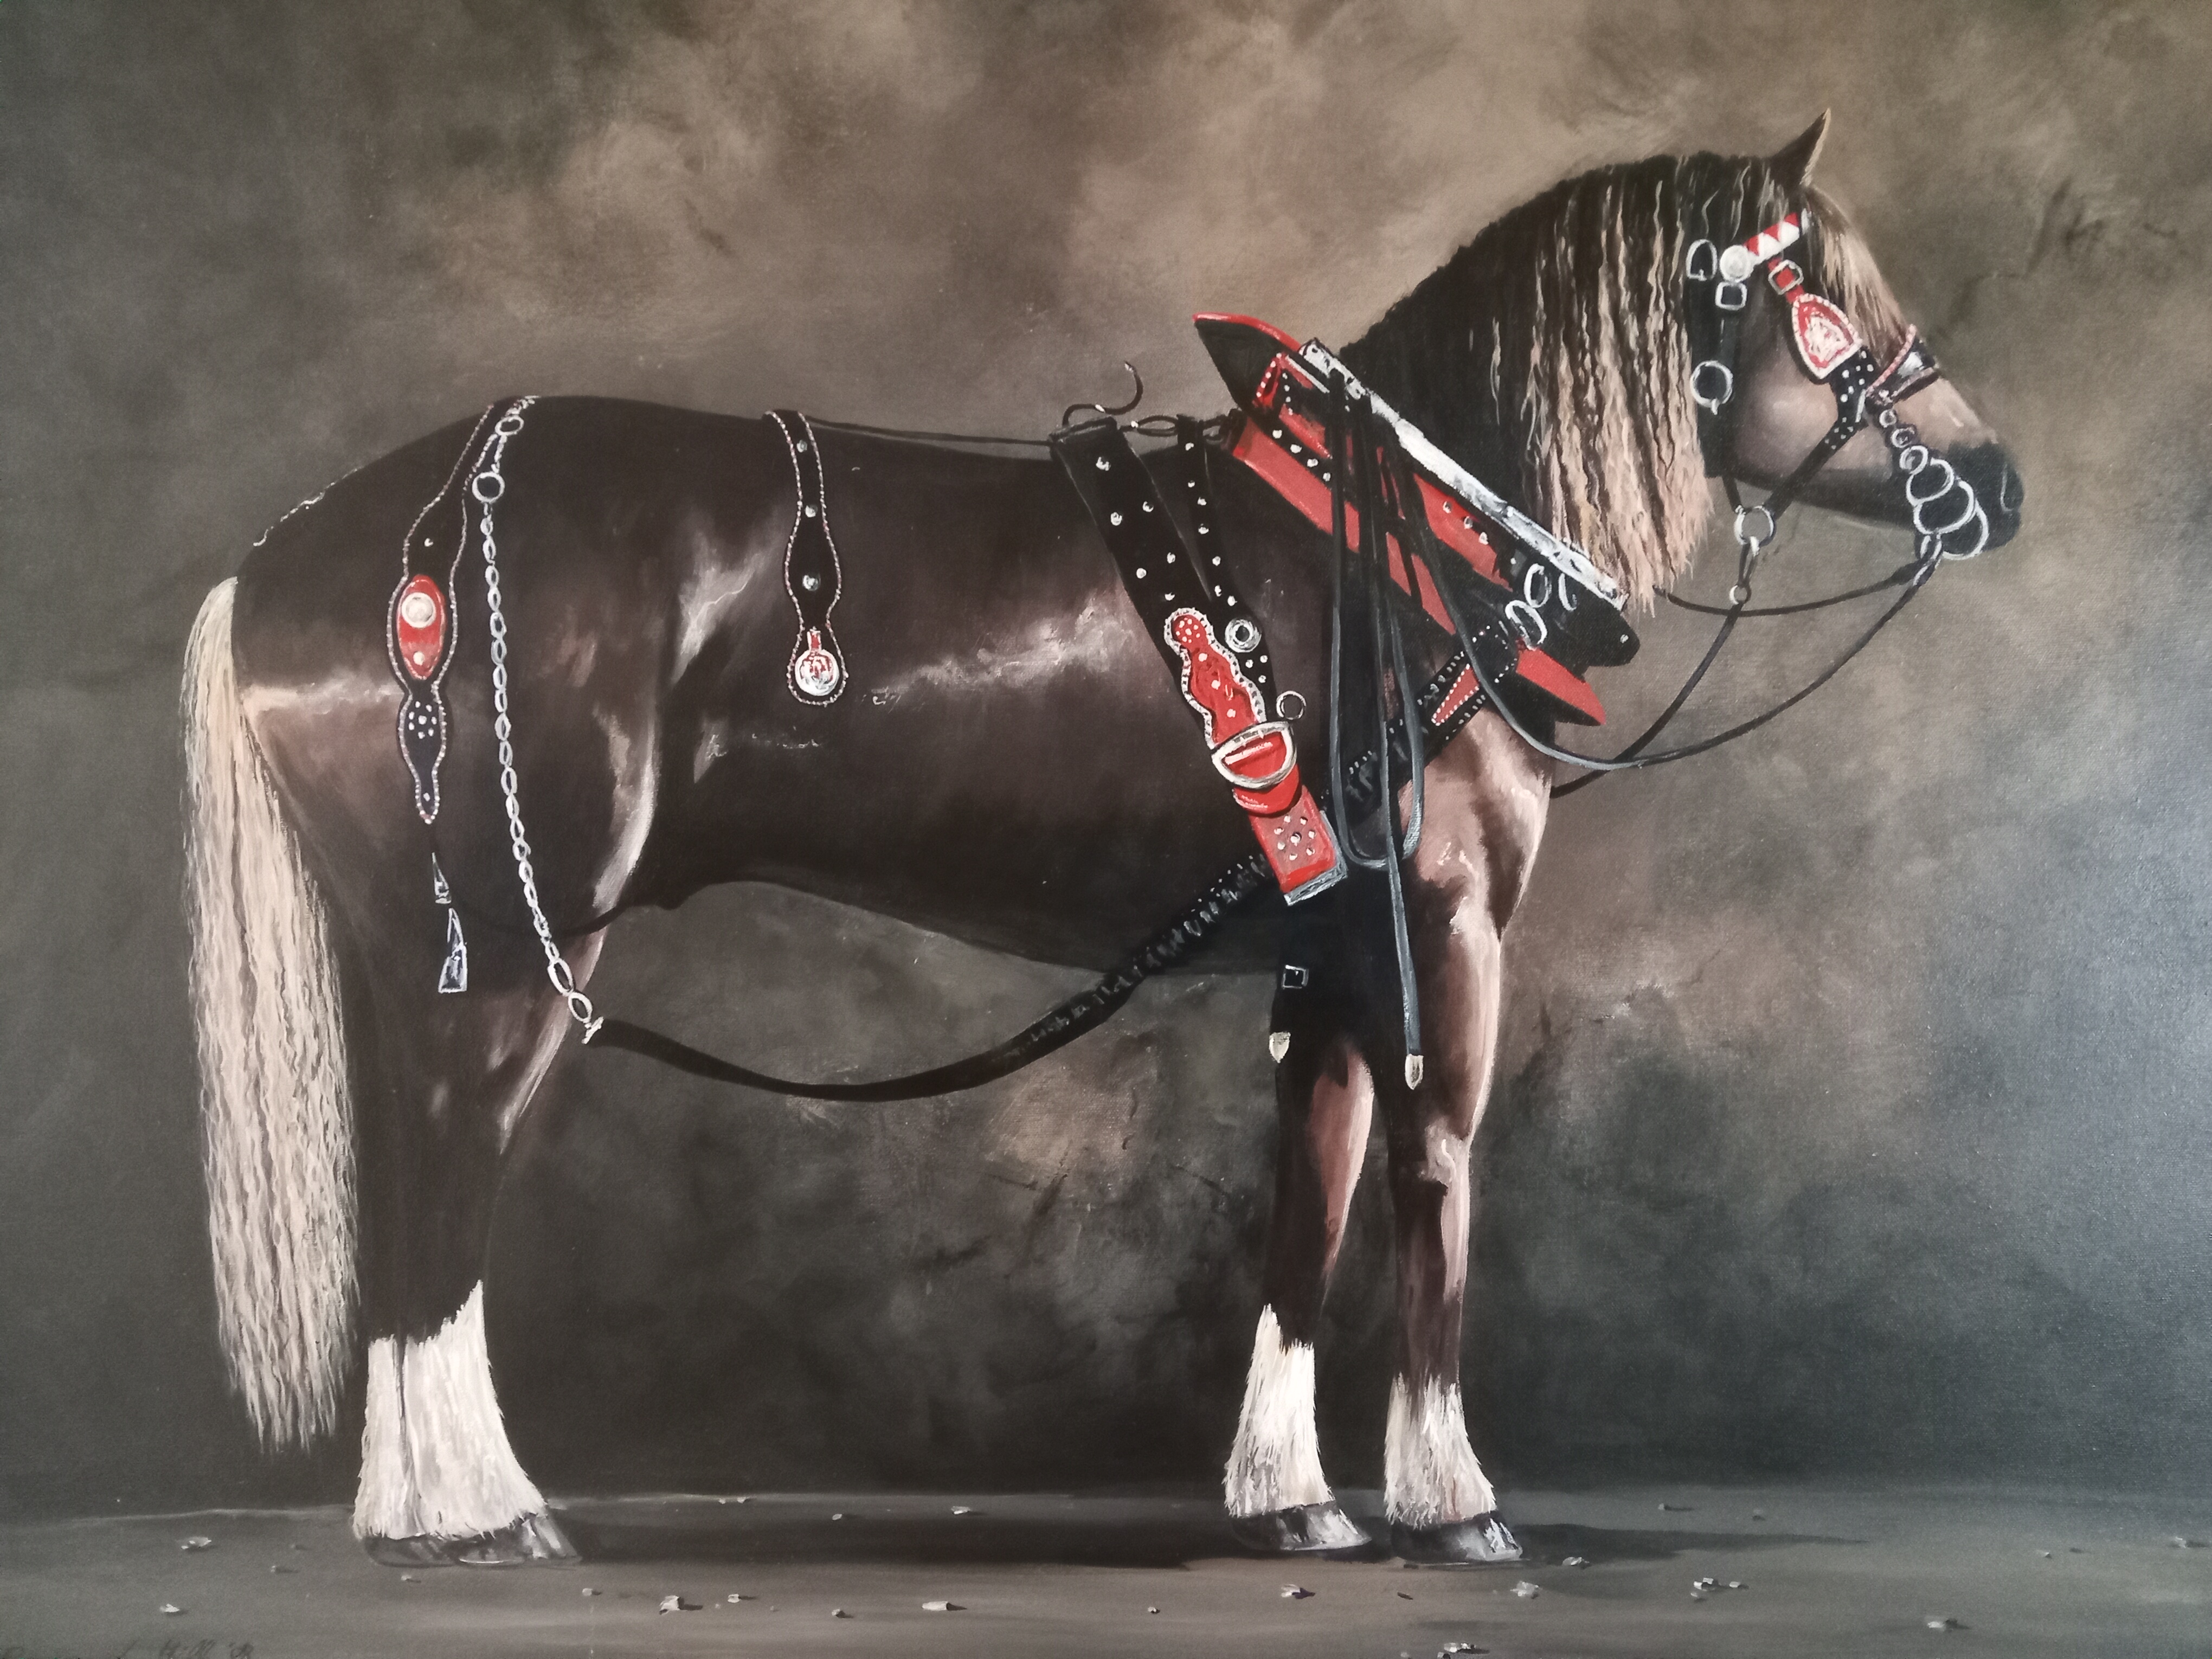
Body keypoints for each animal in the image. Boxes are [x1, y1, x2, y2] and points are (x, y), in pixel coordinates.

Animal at [180, 114, 2021, 1568]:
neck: (1397, 544)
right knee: (442, 1206)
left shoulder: (1326, 958)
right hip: (506, 952)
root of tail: (317, 547)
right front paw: (1454, 1498)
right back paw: (472, 1512)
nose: (1996, 484)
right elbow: (1433, 1178)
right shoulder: (1445, 932)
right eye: (1823, 304)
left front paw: (1295, 1497)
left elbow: (1309, 1207)